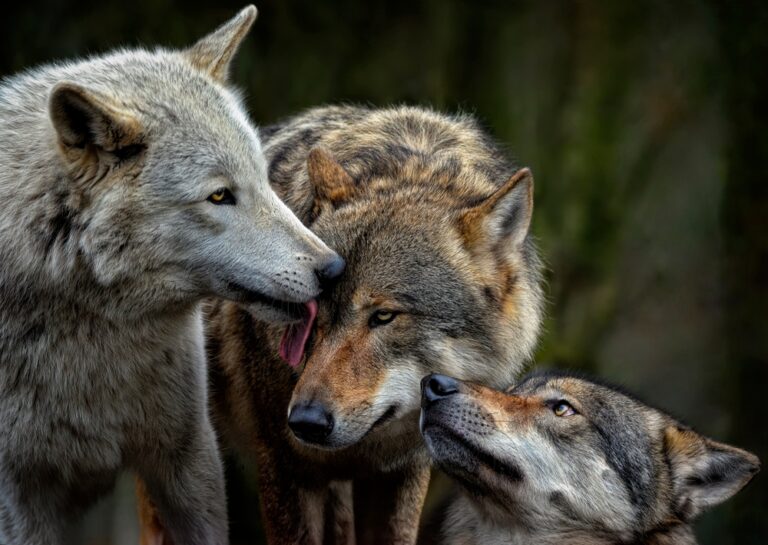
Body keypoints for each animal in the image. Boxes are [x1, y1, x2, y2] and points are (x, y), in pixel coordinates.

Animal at [138, 104, 545, 544]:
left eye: (383, 316)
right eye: (310, 311)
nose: (306, 422)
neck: (412, 165)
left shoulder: (401, 474)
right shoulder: (285, 467)